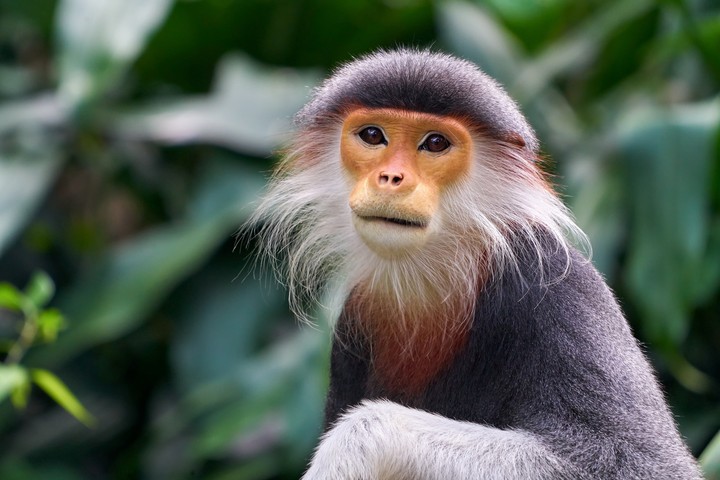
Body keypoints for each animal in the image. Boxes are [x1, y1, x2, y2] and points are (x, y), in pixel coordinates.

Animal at [248, 49, 703, 479]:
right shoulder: (353, 320)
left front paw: (349, 449)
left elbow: (637, 461)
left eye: (435, 144)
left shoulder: (558, 284)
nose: (391, 178)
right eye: (373, 135)